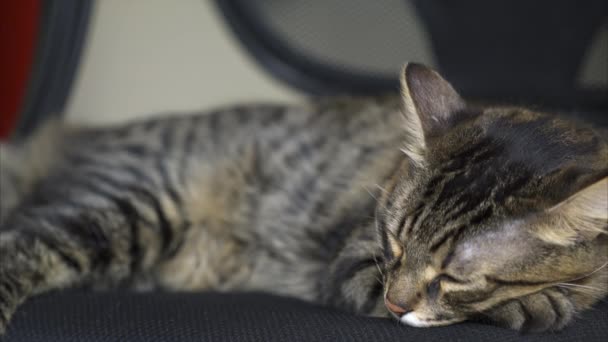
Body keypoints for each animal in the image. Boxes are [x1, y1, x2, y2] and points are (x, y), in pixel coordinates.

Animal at [1, 62, 608, 334]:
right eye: (391, 244)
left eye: (453, 275)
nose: (396, 305)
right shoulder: (353, 263)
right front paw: (536, 305)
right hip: (132, 209)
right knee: (22, 243)